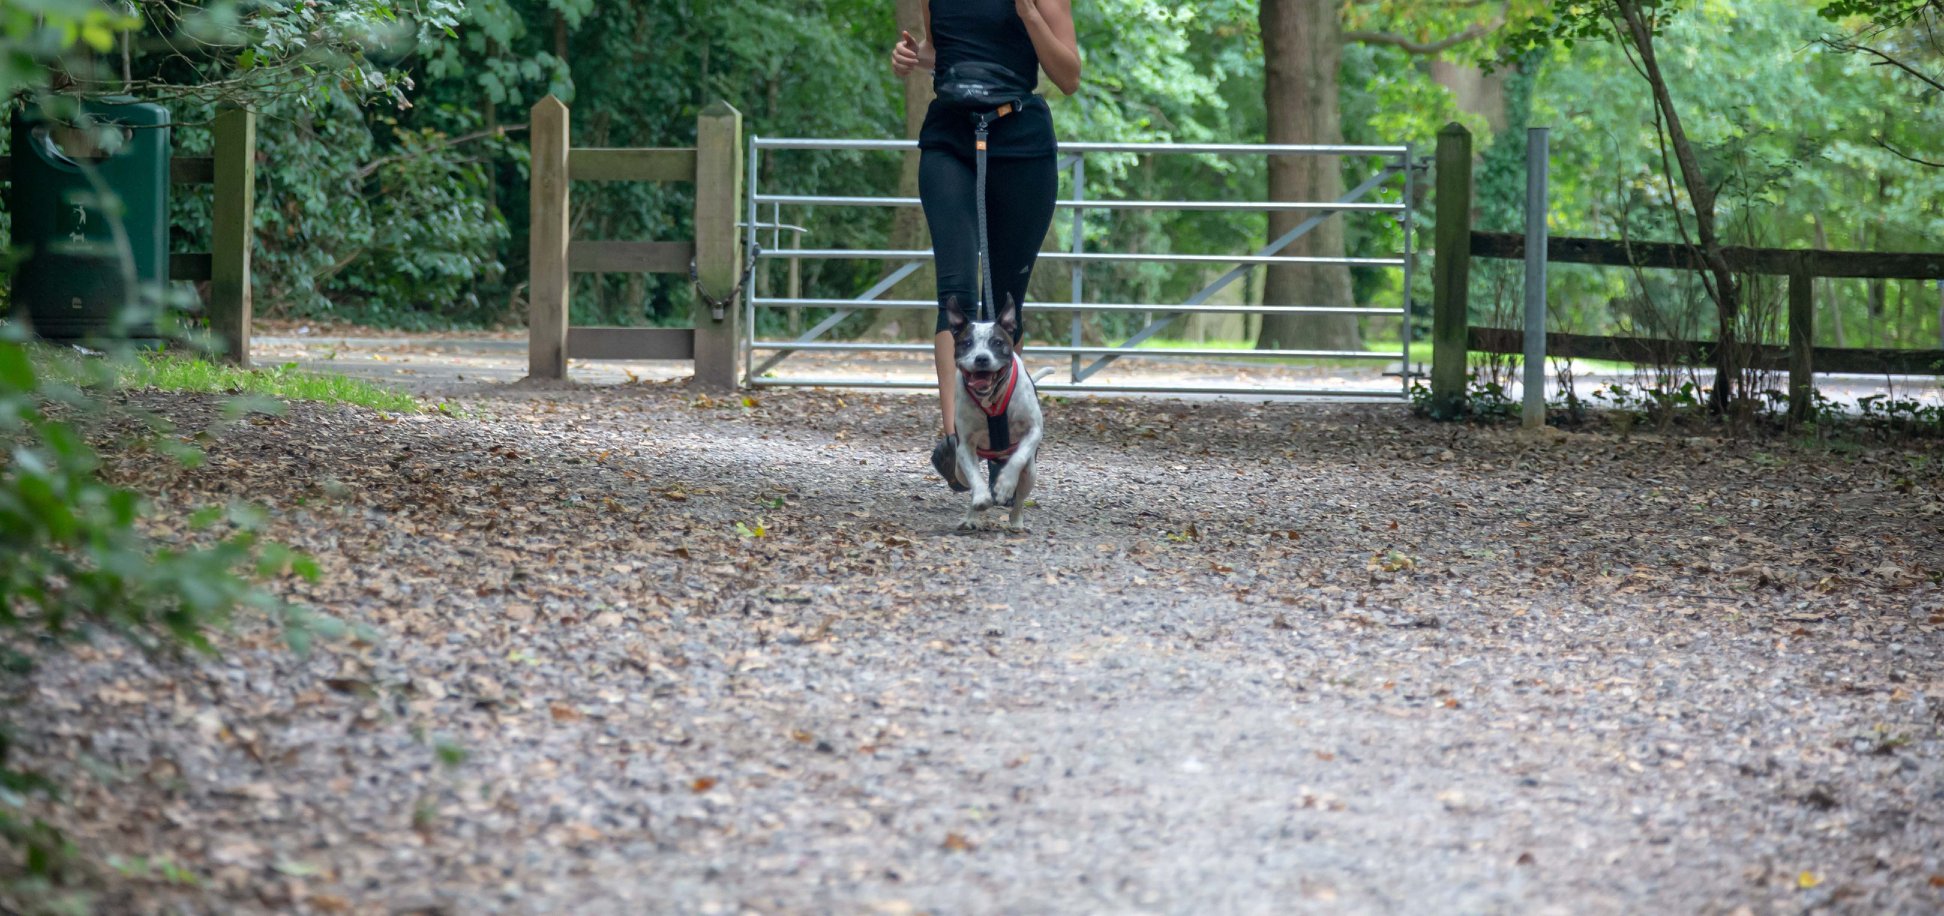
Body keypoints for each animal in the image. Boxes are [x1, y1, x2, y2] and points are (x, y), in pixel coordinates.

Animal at [944, 297, 1041, 532]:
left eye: (997, 342)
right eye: (966, 343)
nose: (981, 358)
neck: (992, 396)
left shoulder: (1033, 430)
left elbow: (1018, 458)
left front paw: (1005, 485)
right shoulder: (965, 445)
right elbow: (975, 479)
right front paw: (981, 497)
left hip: (1030, 473)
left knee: (1020, 499)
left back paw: (1016, 522)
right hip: (959, 470)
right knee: (969, 481)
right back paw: (971, 516)